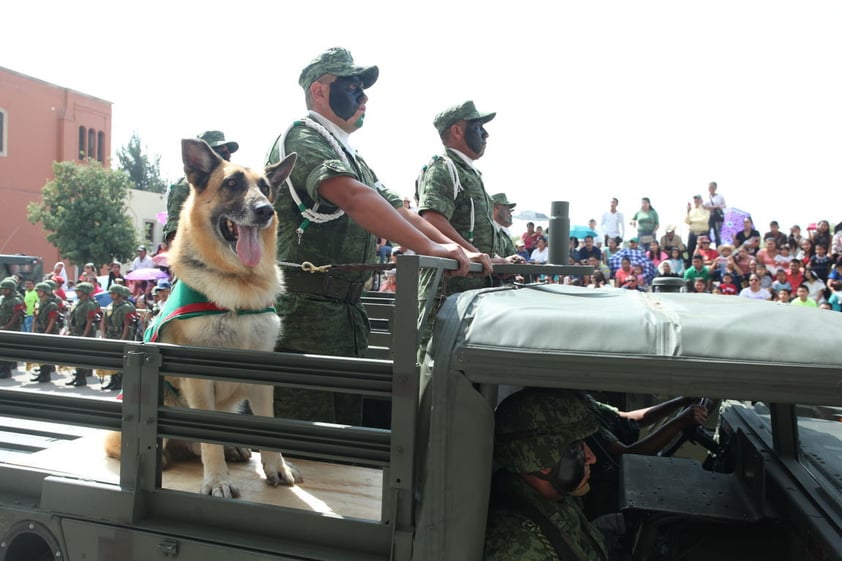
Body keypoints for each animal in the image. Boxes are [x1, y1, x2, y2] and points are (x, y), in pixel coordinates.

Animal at [106, 139, 298, 494]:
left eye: (265, 187)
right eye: (232, 184)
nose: (266, 210)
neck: (239, 282)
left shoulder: (263, 375)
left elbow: (268, 425)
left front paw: (276, 467)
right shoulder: (197, 377)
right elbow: (208, 441)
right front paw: (217, 481)